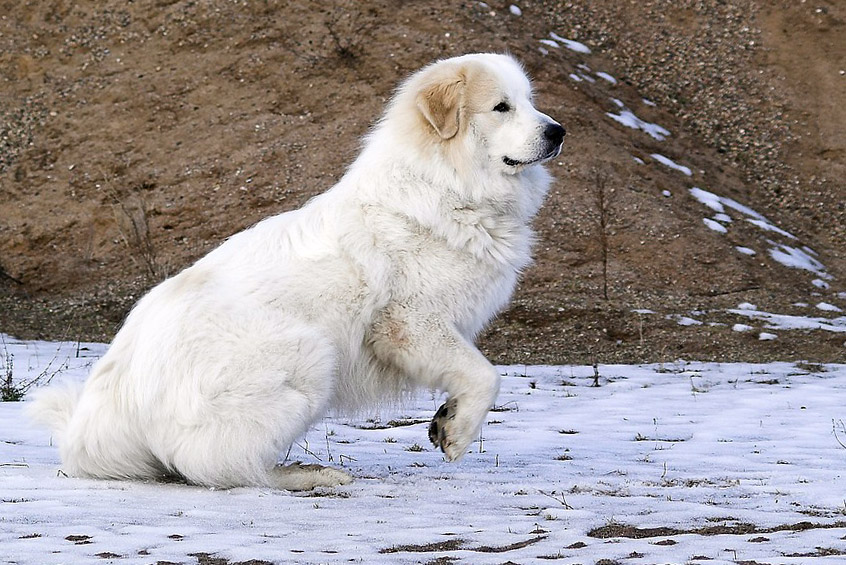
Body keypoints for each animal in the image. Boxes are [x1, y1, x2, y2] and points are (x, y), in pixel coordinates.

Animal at [29, 55, 568, 492]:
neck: (444, 185)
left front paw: (445, 419)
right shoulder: (410, 323)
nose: (558, 131)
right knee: (220, 467)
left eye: (530, 101)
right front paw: (458, 432)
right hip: (310, 354)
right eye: (501, 107)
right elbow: (485, 374)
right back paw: (309, 476)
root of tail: (102, 416)